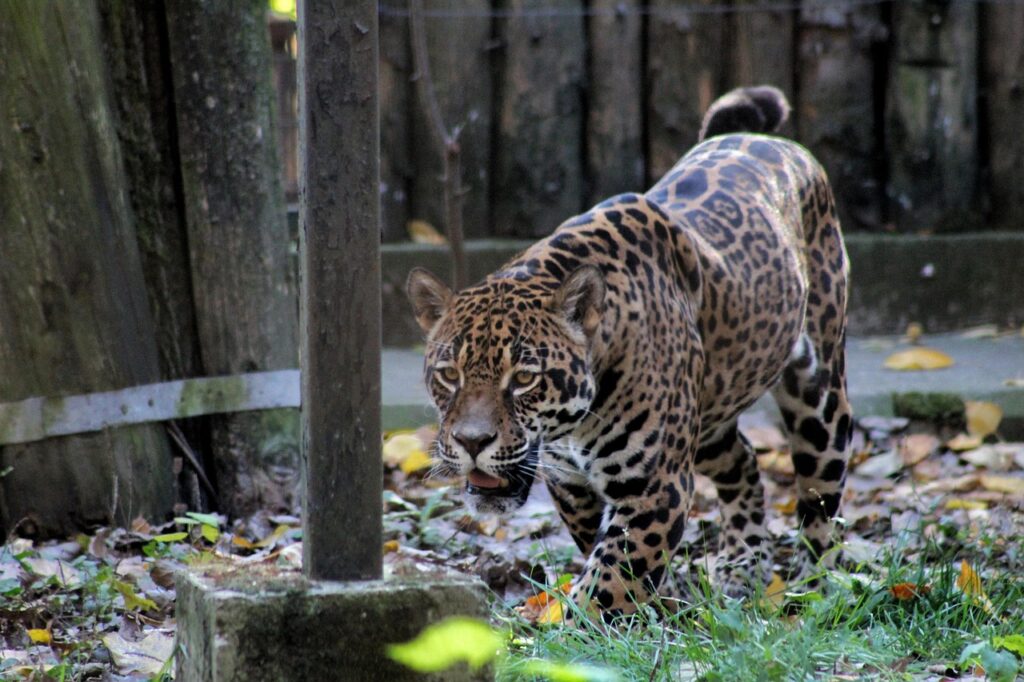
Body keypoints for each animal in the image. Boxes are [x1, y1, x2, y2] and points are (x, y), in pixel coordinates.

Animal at [406, 85, 852, 619]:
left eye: (525, 379)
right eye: (449, 375)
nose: (472, 443)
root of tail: (768, 140)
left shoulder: (654, 487)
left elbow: (609, 581)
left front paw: (569, 629)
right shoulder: (570, 483)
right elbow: (604, 553)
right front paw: (666, 601)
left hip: (818, 397)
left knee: (822, 497)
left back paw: (814, 591)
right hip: (708, 418)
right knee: (743, 461)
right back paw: (744, 563)